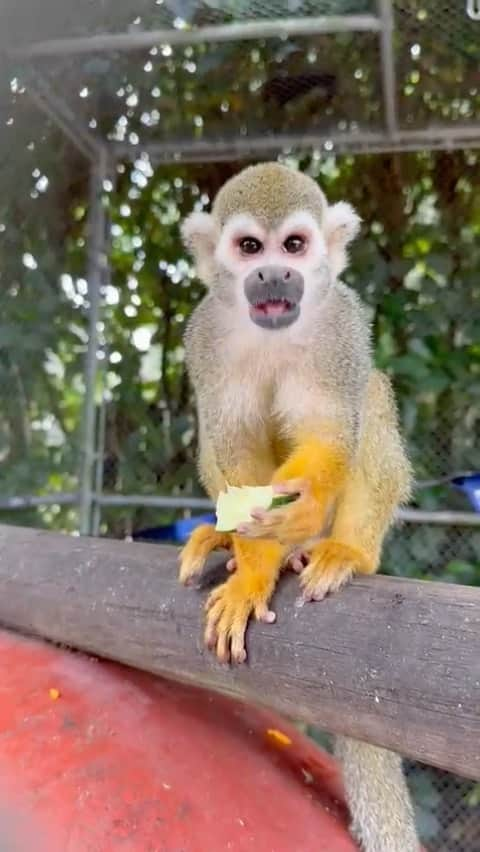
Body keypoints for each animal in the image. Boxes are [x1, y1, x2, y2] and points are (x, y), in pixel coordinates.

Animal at [178, 161, 418, 852]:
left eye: (294, 246)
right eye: (249, 248)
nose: (273, 275)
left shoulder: (340, 327)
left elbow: (333, 429)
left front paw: (300, 511)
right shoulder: (205, 337)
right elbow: (231, 445)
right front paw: (251, 568)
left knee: (371, 394)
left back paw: (343, 550)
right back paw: (237, 546)